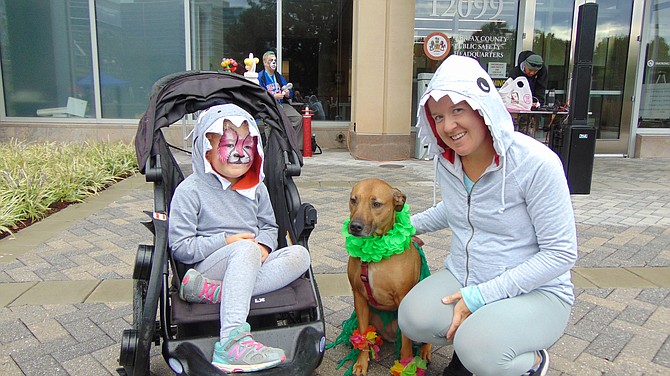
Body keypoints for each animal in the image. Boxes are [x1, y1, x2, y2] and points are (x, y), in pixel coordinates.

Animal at [346, 178, 436, 374]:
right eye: (353, 200)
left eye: (376, 204)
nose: (355, 226)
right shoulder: (359, 298)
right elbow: (363, 335)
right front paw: (362, 363)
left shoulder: (402, 299)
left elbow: (406, 345)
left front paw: (407, 367)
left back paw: (425, 352)